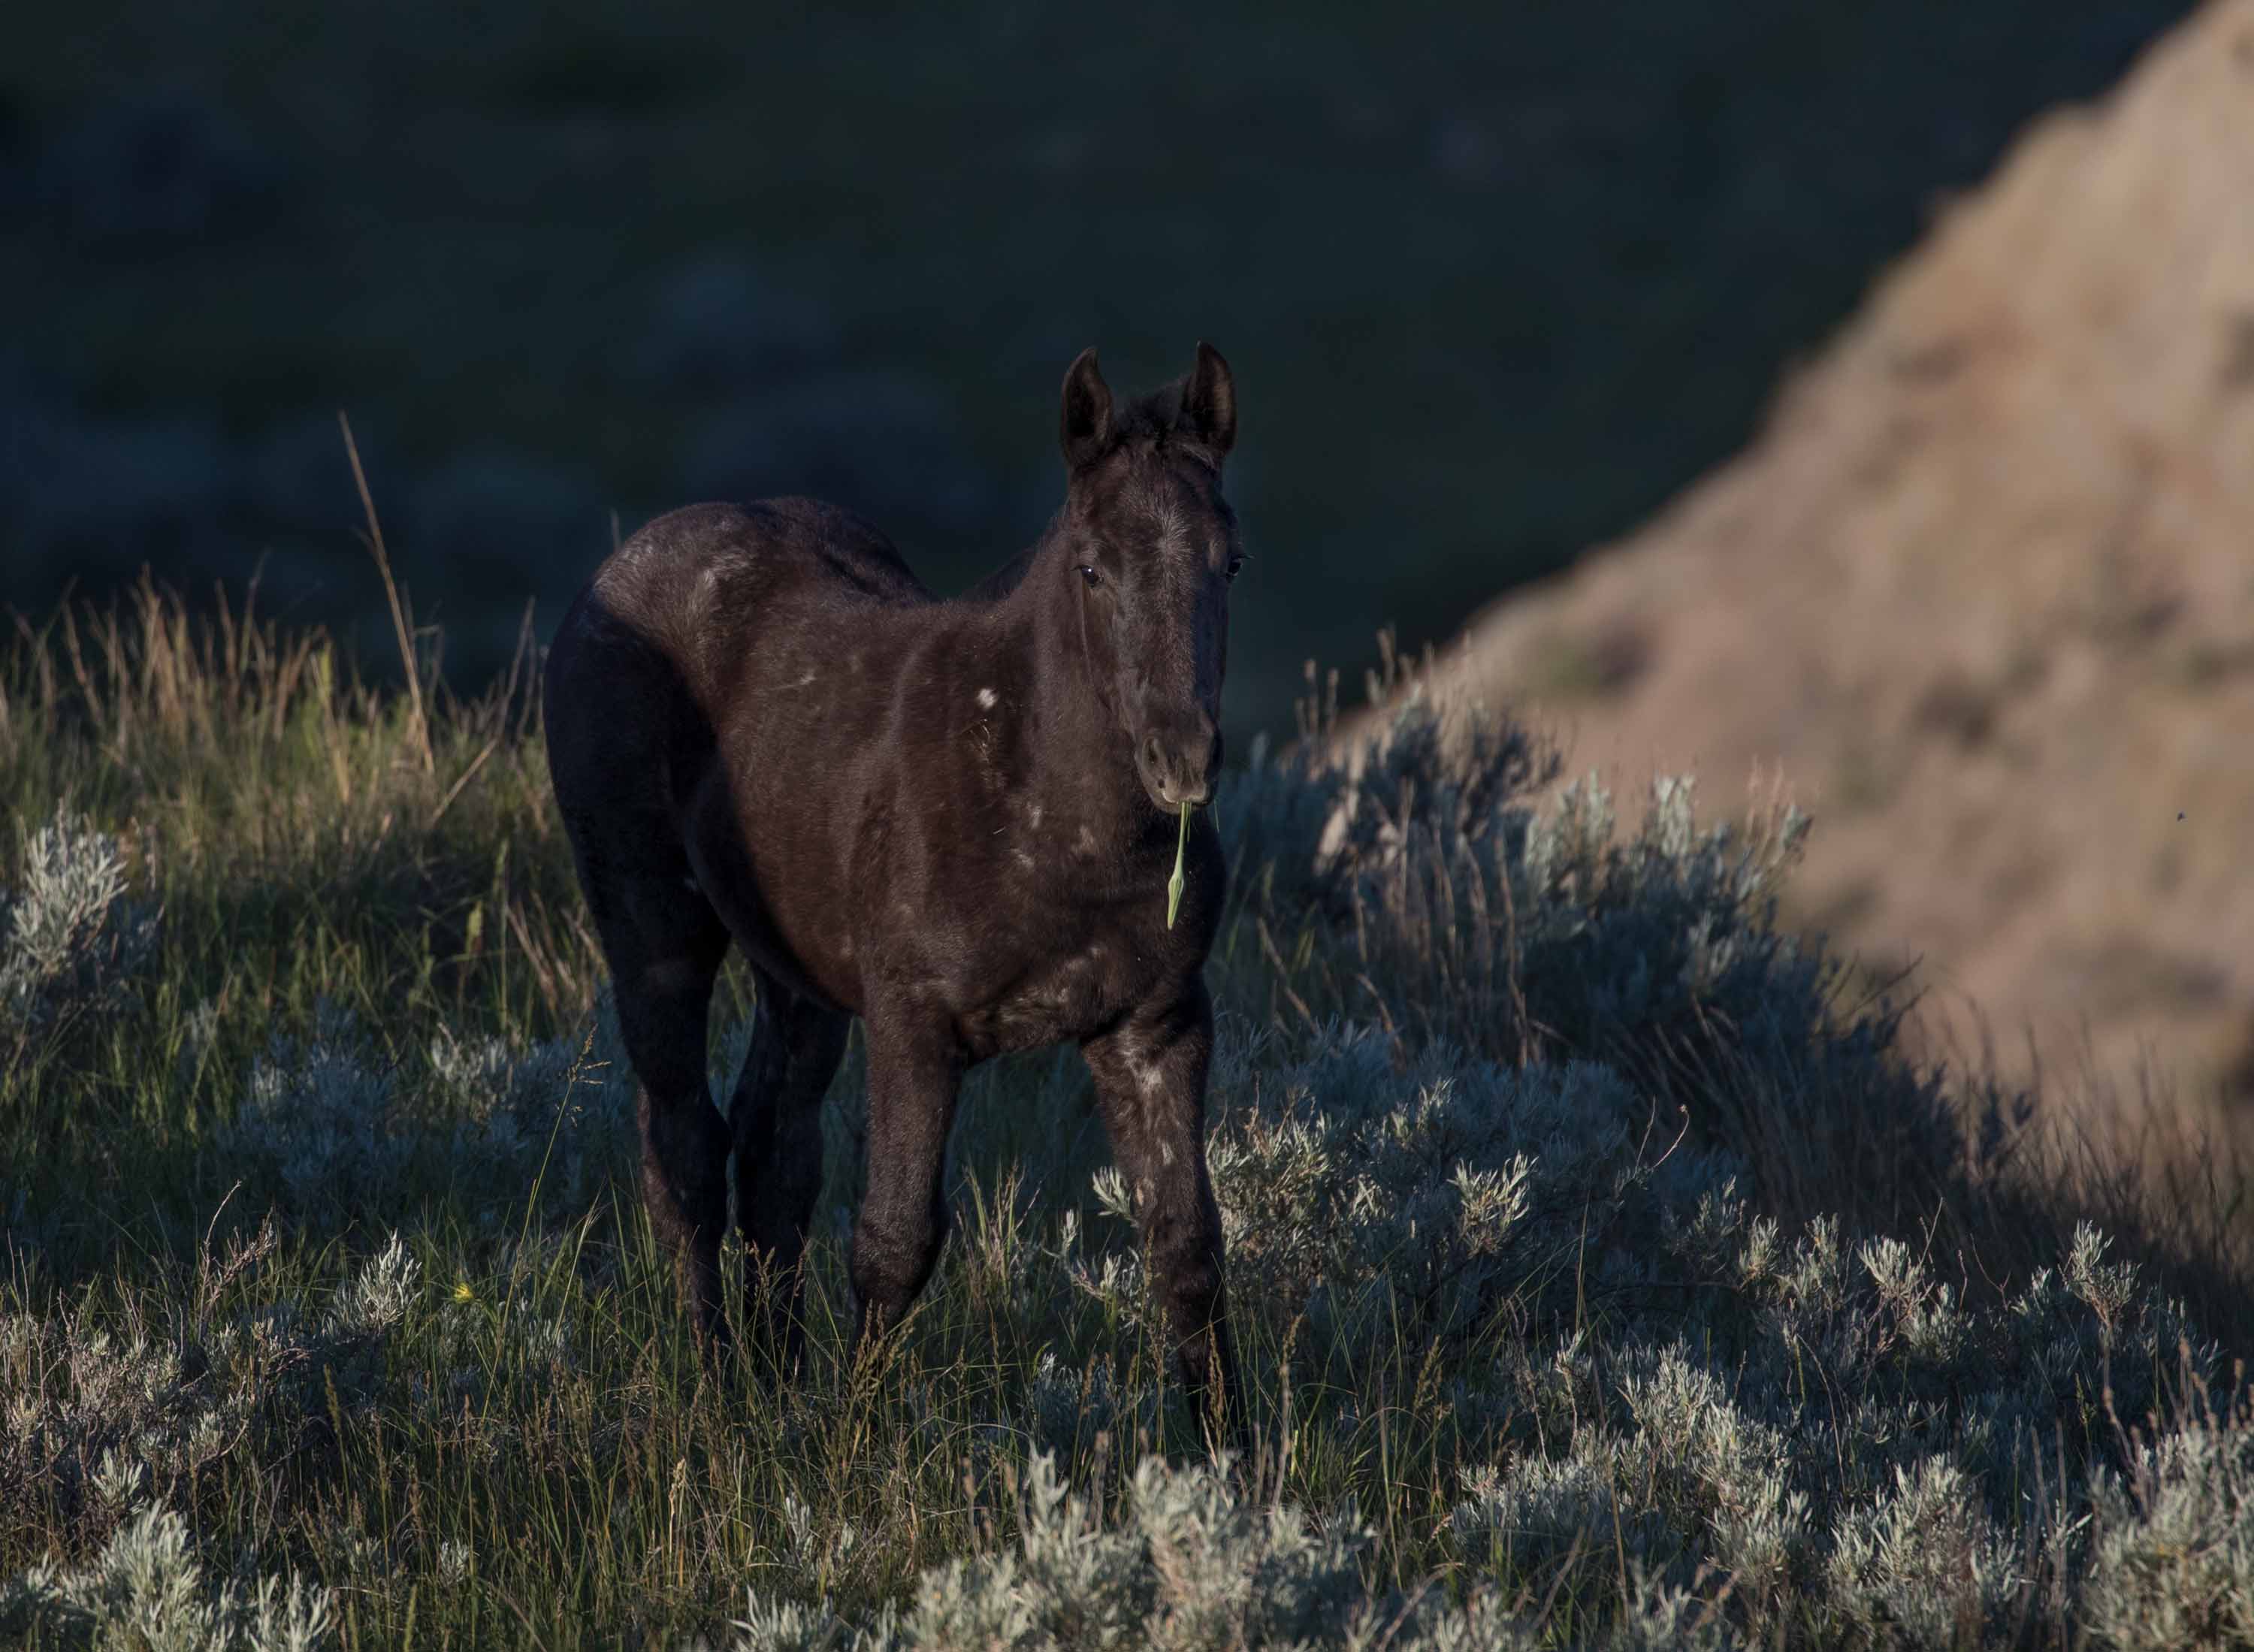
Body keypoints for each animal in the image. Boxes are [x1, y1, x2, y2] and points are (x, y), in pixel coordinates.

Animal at [548, 338, 1253, 1433]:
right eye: (1093, 567)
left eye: (1230, 560)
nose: (1181, 758)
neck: (1052, 817)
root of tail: (612, 576)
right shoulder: (916, 1027)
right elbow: (895, 1240)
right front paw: (852, 1447)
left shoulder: (1156, 1025)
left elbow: (1187, 1247)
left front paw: (1233, 1457)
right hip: (653, 929)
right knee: (686, 1150)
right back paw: (718, 1398)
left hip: (795, 975)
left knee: (773, 1153)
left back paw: (776, 1384)